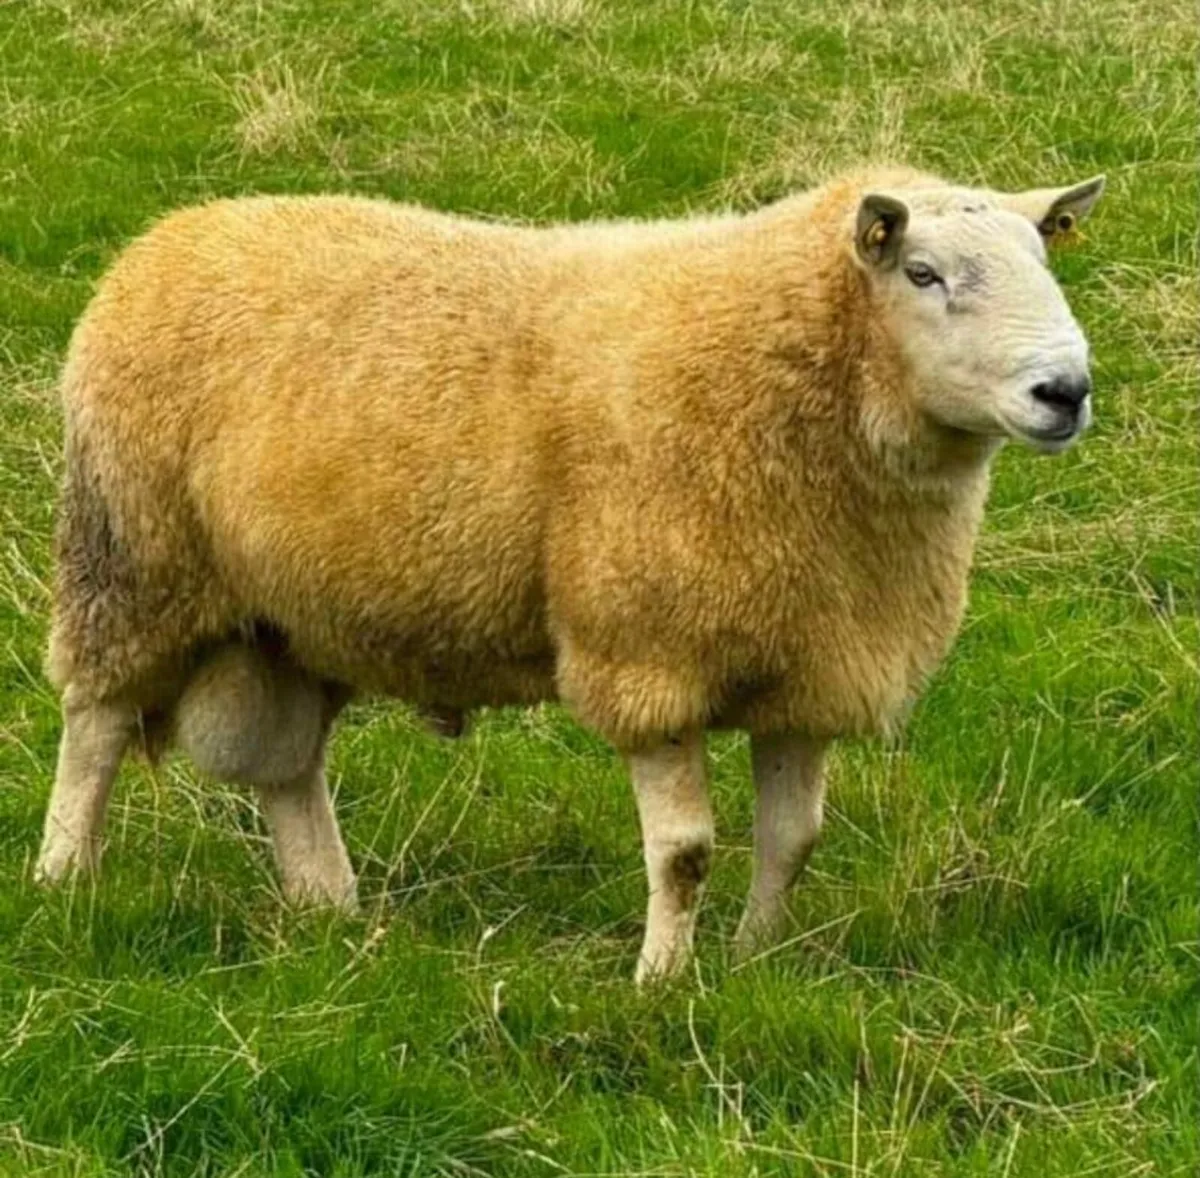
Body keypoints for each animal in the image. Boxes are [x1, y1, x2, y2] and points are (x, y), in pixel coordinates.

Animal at [35, 166, 1104, 980]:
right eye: (923, 273)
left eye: (1046, 260)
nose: (1066, 391)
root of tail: (171, 236)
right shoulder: (648, 653)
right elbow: (684, 854)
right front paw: (662, 983)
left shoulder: (810, 663)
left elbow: (792, 841)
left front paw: (758, 964)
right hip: (134, 561)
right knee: (95, 727)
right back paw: (64, 878)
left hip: (294, 614)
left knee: (289, 765)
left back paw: (331, 910)